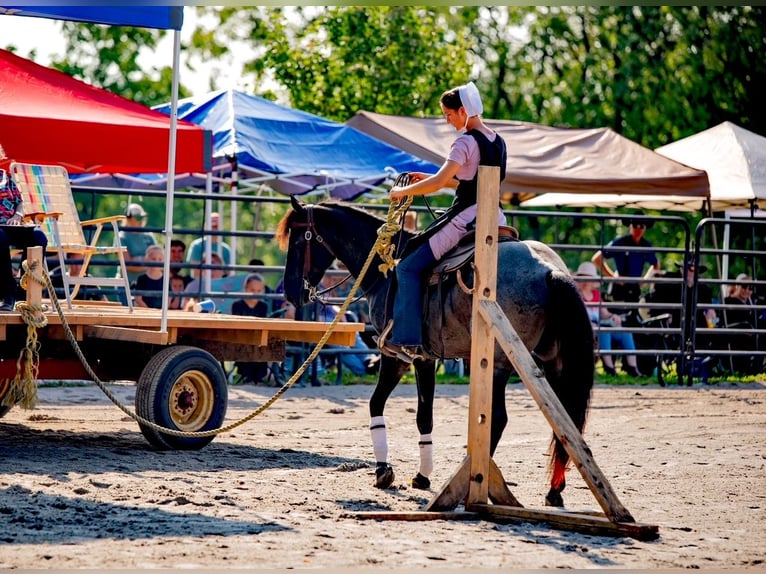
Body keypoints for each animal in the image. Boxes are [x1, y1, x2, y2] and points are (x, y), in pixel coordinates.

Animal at [280, 198, 596, 508]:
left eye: (297, 241)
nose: (291, 293)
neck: (386, 270)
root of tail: (550, 271)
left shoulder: (398, 356)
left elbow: (383, 405)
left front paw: (387, 471)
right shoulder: (427, 359)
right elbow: (423, 414)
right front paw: (420, 475)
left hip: (500, 363)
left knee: (499, 418)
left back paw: (476, 482)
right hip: (551, 362)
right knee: (565, 419)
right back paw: (553, 491)